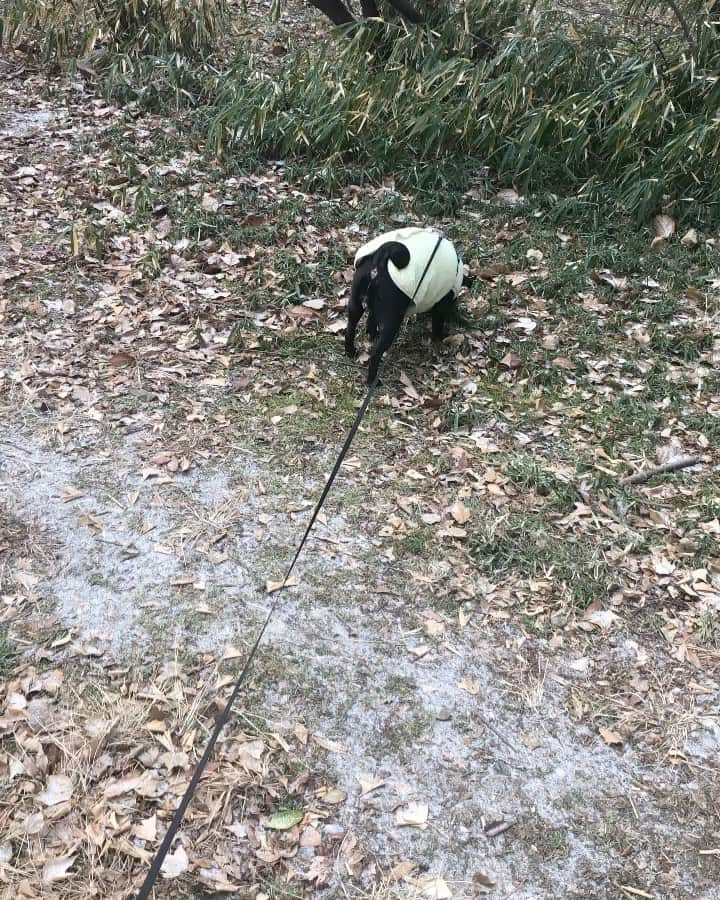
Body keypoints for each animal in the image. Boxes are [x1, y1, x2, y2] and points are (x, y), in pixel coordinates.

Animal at [346, 227, 464, 384]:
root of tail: (380, 259)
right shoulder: (441, 306)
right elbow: (437, 326)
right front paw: (439, 339)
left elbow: (371, 320)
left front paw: (371, 334)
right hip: (392, 322)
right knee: (376, 353)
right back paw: (373, 381)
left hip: (356, 303)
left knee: (351, 327)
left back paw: (350, 351)